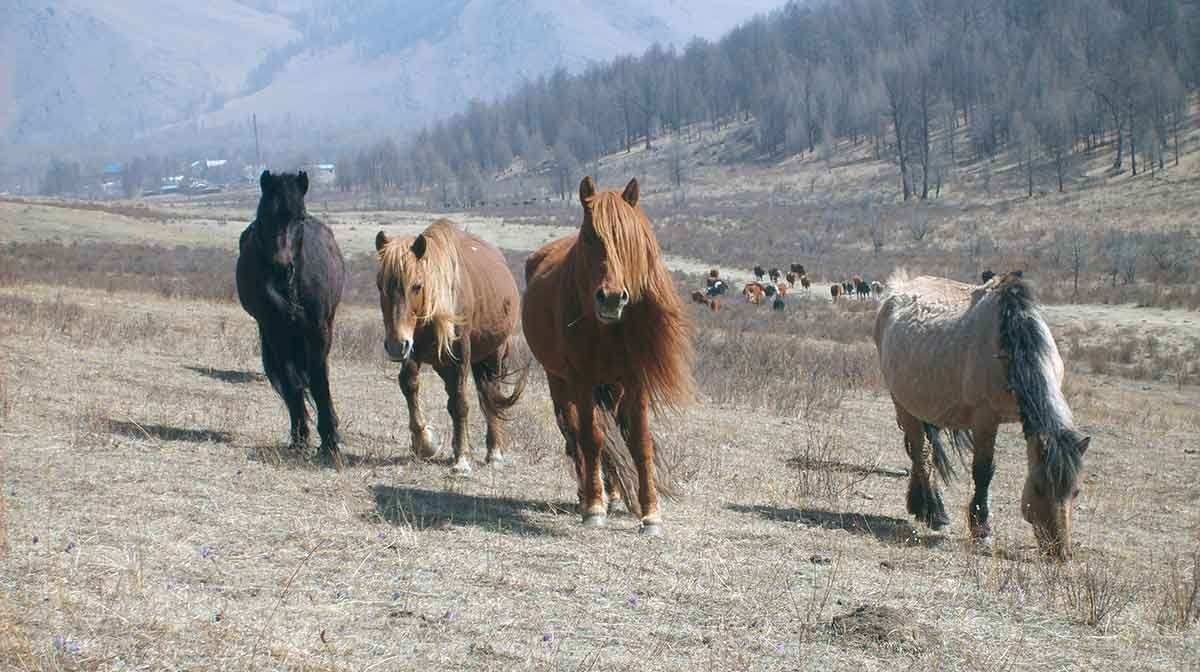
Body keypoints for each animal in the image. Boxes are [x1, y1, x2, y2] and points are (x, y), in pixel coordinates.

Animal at [237, 171, 346, 462]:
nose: (281, 267)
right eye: (264, 215)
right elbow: (292, 383)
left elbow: (319, 383)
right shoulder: (276, 333)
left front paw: (330, 440)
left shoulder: (318, 331)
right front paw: (301, 437)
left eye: (301, 217)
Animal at [375, 219, 527, 476]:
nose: (395, 346)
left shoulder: (459, 357)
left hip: (492, 355)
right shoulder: (413, 351)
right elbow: (409, 385)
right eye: (380, 286)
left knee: (490, 397)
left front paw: (462, 460)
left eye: (417, 285)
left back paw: (494, 452)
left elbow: (460, 403)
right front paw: (425, 442)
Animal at [523, 177, 694, 535]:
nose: (612, 298)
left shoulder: (635, 380)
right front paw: (593, 507)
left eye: (628, 238)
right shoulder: (581, 380)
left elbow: (640, 442)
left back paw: (613, 494)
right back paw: (587, 495)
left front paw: (650, 514)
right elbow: (591, 439)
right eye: (590, 236)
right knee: (574, 434)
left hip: (612, 387)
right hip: (559, 381)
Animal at [874, 272, 1089, 560]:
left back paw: (921, 507)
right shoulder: (985, 419)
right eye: (1039, 487)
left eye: (1075, 491)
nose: (1060, 553)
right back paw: (934, 512)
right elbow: (983, 472)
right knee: (921, 452)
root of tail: (895, 290)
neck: (1009, 343)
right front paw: (982, 529)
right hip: (902, 403)